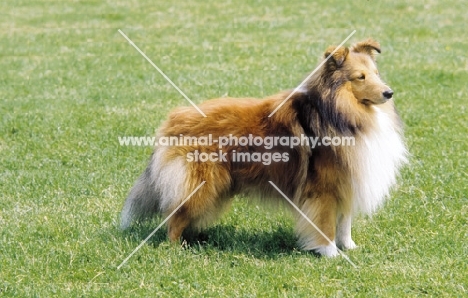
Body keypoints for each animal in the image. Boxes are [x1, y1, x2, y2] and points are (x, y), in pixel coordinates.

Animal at [119, 37, 406, 256]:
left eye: (376, 74)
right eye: (360, 77)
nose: (389, 93)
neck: (341, 111)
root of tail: (173, 119)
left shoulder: (347, 181)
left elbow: (344, 222)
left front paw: (349, 247)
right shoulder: (323, 189)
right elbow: (325, 224)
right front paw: (331, 254)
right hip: (200, 183)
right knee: (174, 217)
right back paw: (176, 249)